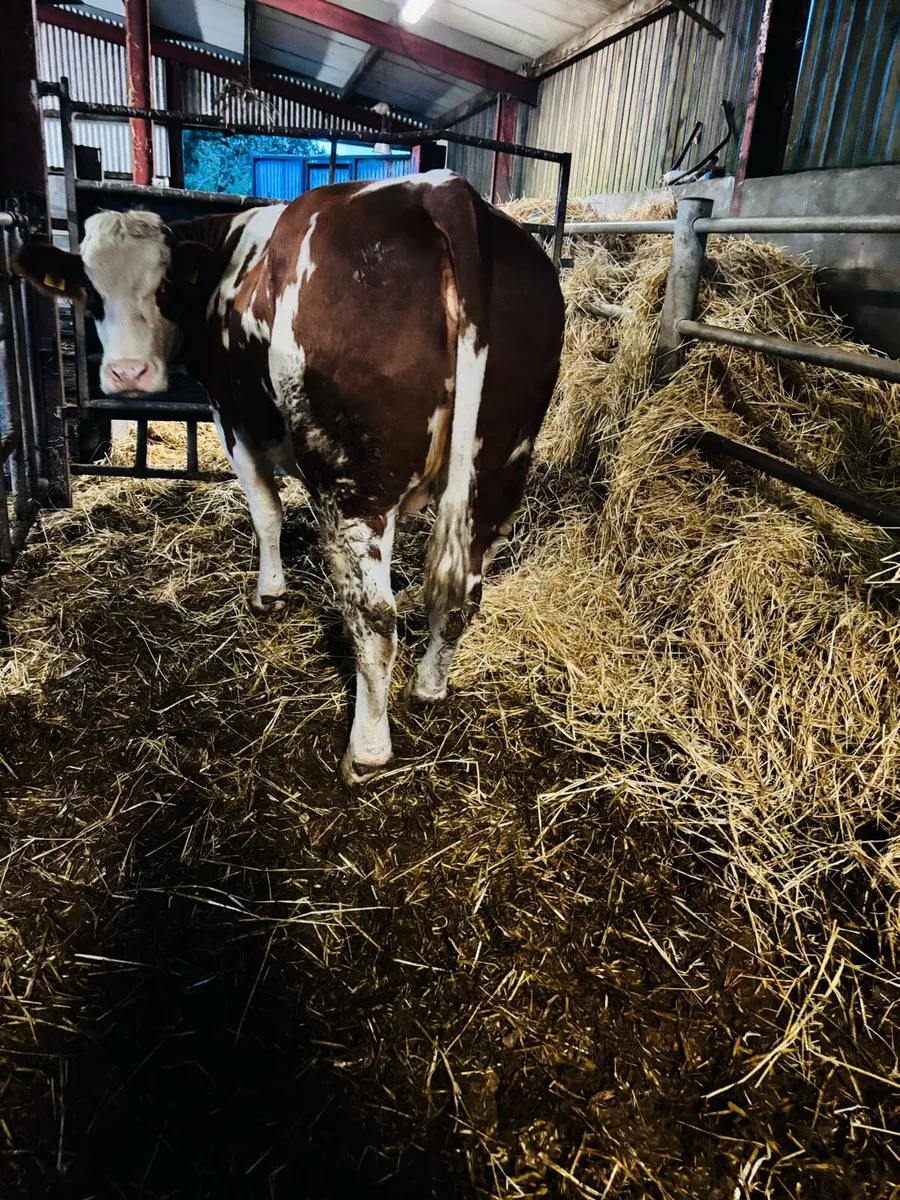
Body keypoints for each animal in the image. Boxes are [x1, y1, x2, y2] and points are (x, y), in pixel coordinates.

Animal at [16, 170, 565, 785]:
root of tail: (442, 187)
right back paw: (429, 686)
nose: (127, 374)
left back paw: (367, 749)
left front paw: (271, 593)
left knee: (376, 616)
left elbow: (267, 510)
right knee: (461, 593)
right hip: (496, 473)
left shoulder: (232, 417)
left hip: (358, 482)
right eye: (89, 292)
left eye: (164, 288)